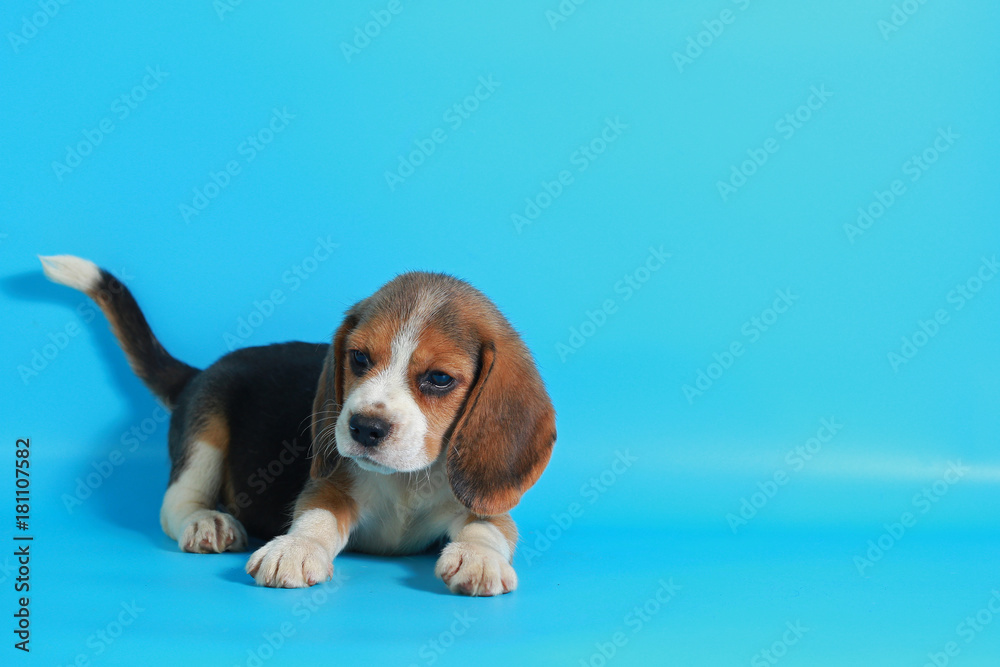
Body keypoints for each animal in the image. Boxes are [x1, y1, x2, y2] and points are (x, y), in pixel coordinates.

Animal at [39, 254, 556, 596]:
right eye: (359, 358)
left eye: (440, 379)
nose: (364, 428)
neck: (407, 481)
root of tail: (199, 372)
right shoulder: (329, 484)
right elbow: (317, 516)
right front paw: (295, 548)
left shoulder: (484, 502)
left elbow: (488, 528)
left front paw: (480, 558)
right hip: (206, 428)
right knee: (175, 503)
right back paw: (207, 521)